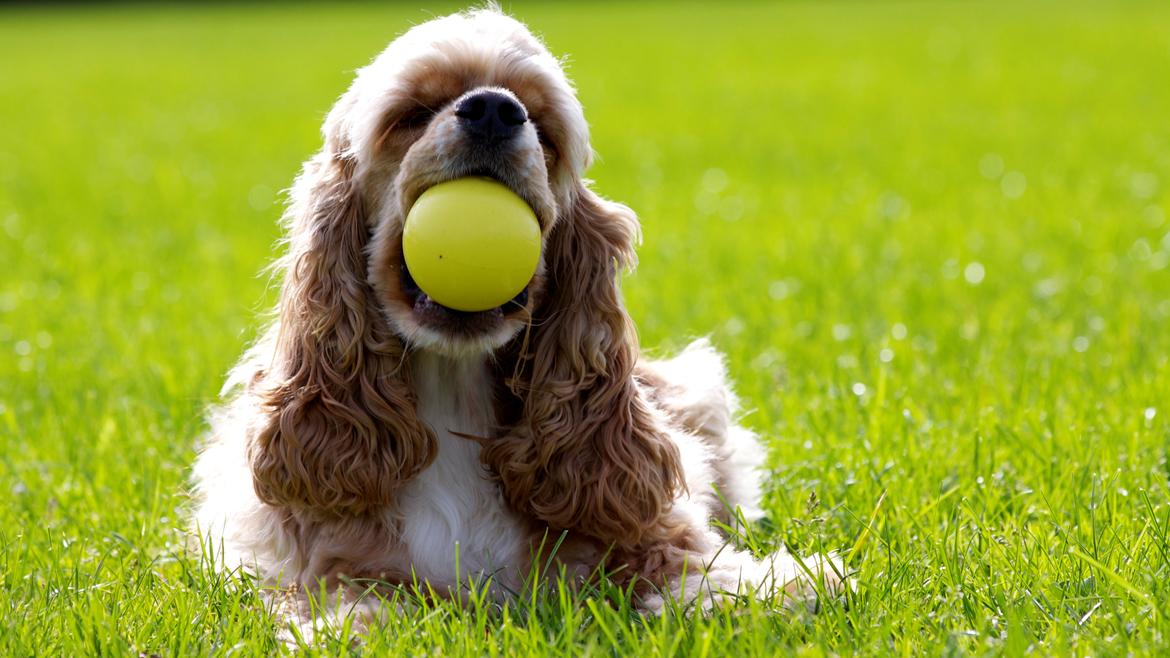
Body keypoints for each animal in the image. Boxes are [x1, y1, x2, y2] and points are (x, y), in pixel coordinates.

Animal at [191, 3, 842, 632]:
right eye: (413, 113)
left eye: (541, 124)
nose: (493, 110)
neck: (454, 392)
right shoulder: (329, 566)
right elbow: (369, 612)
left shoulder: (650, 525)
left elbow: (724, 575)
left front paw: (757, 590)